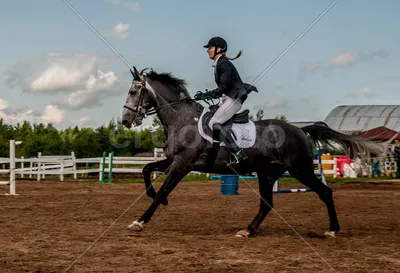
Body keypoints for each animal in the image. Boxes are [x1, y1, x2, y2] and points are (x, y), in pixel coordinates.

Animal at [120, 65, 386, 236]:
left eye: (133, 92)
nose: (125, 120)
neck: (182, 120)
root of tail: (299, 130)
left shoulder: (182, 165)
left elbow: (163, 188)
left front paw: (140, 221)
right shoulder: (173, 161)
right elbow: (146, 169)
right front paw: (156, 198)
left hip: (299, 169)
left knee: (325, 192)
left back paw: (332, 230)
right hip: (268, 173)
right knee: (267, 203)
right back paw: (247, 230)